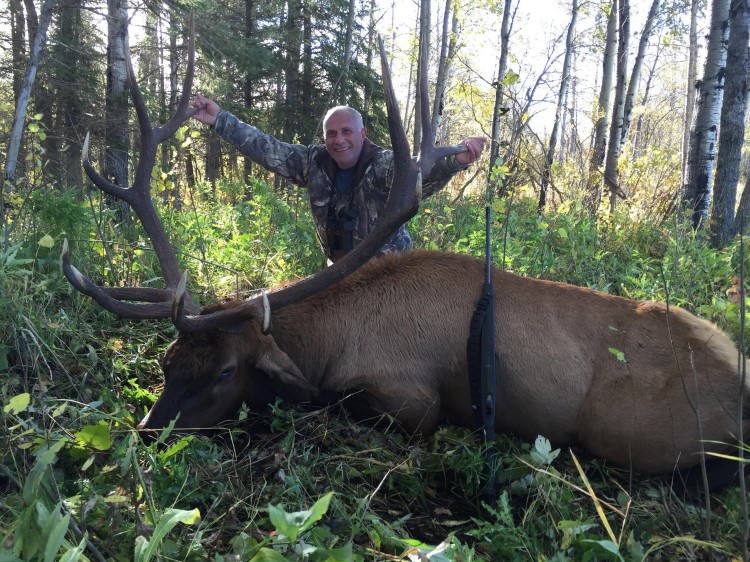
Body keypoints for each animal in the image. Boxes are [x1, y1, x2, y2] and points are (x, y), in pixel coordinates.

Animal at [62, 17, 749, 493]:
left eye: (227, 370)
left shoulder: (412, 402)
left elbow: (340, 406)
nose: (148, 433)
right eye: (169, 360)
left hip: (640, 432)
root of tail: (739, 372)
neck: (330, 342)